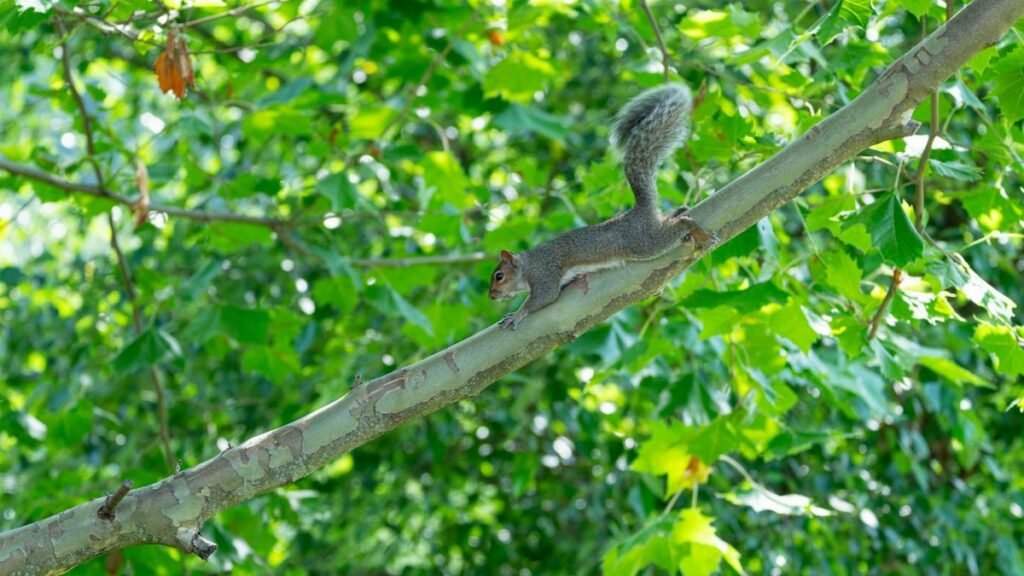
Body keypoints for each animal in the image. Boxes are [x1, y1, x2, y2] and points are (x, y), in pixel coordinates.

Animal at [489, 83, 718, 330]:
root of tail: (640, 210)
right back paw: (681, 211)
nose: (491, 296)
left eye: (499, 276)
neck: (528, 264)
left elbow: (543, 298)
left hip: (645, 243)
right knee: (670, 218)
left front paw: (516, 315)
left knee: (677, 228)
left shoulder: (544, 275)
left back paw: (697, 230)